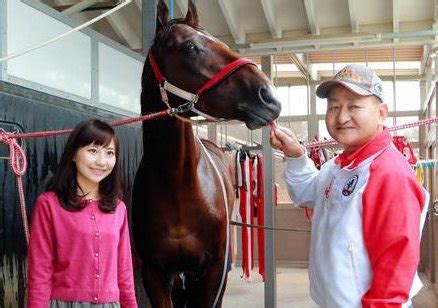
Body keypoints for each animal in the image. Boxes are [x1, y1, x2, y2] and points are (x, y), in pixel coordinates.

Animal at [131, 1, 280, 306]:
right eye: (189, 47)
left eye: (219, 41)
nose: (269, 97)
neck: (177, 183)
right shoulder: (155, 274)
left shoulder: (214, 271)